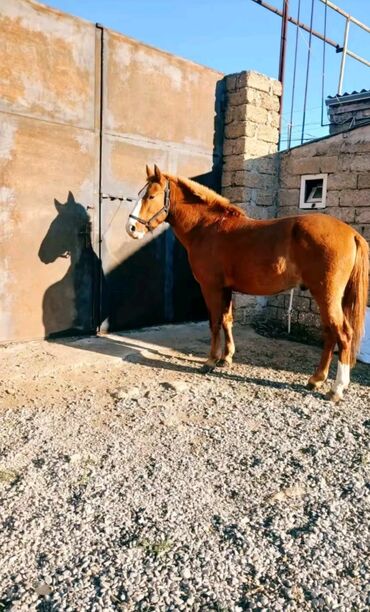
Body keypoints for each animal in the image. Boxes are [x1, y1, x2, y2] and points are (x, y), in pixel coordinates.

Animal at [126, 165, 368, 402]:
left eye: (151, 195)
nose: (131, 228)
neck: (207, 227)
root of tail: (351, 233)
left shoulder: (211, 287)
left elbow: (215, 323)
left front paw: (211, 361)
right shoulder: (226, 289)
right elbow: (227, 320)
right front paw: (226, 358)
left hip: (326, 295)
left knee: (343, 334)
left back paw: (336, 389)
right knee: (330, 334)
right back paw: (316, 379)